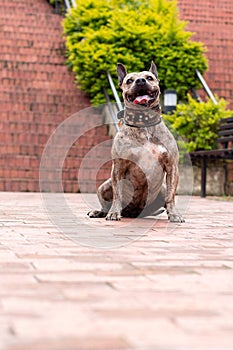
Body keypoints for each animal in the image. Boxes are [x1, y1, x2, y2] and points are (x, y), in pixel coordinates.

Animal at [88, 61, 185, 223]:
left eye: (149, 77)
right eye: (129, 80)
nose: (140, 81)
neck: (143, 122)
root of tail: (134, 213)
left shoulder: (171, 166)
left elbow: (171, 196)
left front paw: (175, 214)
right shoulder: (119, 166)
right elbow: (117, 194)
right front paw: (114, 213)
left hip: (162, 188)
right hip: (103, 187)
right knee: (106, 203)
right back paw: (100, 212)